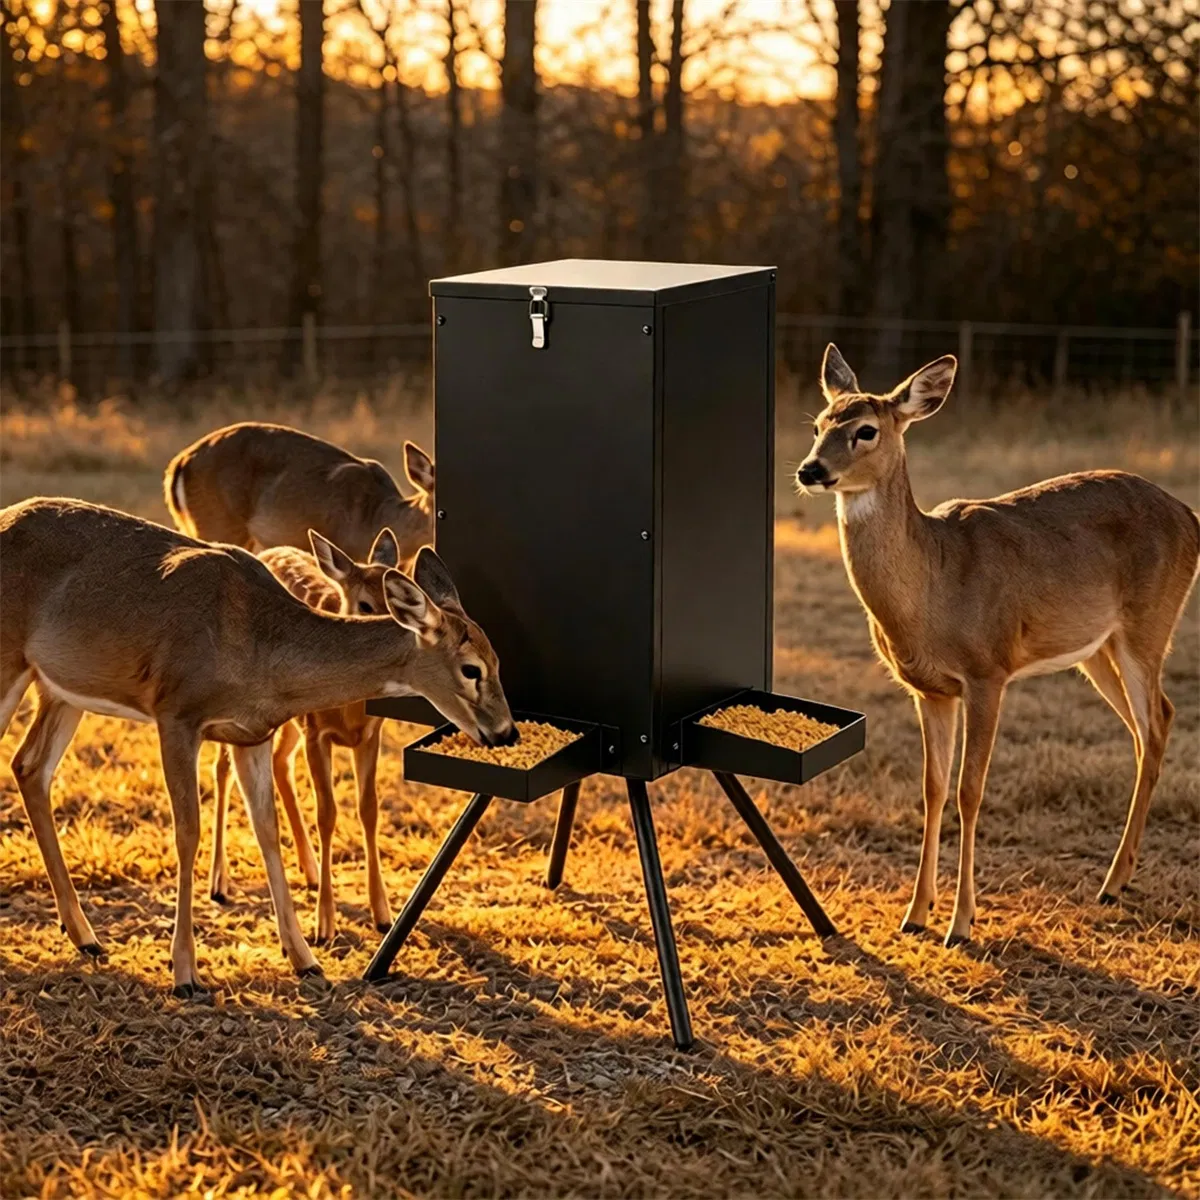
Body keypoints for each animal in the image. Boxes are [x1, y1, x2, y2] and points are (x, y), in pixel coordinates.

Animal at [210, 526, 404, 945]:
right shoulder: (318, 732)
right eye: (365, 604)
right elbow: (327, 813)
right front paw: (324, 925)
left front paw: (383, 915)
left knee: (279, 762)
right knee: (223, 768)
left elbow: (369, 809)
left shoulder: (371, 735)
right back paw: (219, 882)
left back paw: (311, 870)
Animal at [796, 345, 1199, 947]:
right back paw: (1118, 878)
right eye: (820, 424)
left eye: (866, 430)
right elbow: (933, 787)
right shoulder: (930, 690)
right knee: (1150, 724)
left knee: (1155, 722)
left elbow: (970, 789)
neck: (933, 587)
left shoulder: (988, 671)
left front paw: (961, 923)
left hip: (1148, 625)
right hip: (1097, 648)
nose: (810, 469)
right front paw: (915, 914)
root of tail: (1190, 518)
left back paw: (1110, 883)